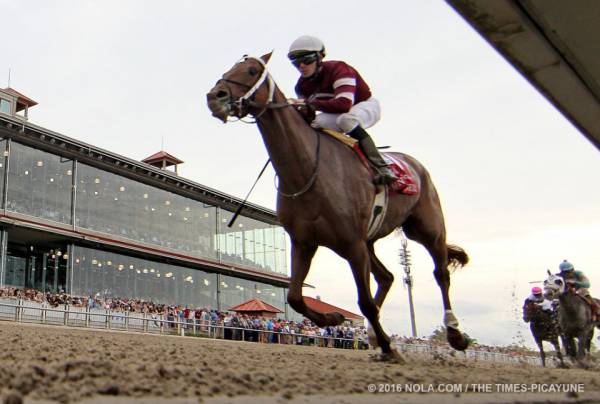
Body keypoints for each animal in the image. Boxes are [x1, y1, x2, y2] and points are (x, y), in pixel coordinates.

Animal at [209, 52, 472, 360]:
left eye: (251, 70)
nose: (215, 96)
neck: (308, 169)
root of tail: (415, 164)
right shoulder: (305, 241)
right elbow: (295, 297)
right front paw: (333, 319)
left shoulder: (351, 244)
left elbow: (364, 302)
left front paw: (387, 346)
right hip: (369, 241)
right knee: (387, 277)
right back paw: (374, 333)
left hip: (426, 228)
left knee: (440, 273)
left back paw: (454, 334)